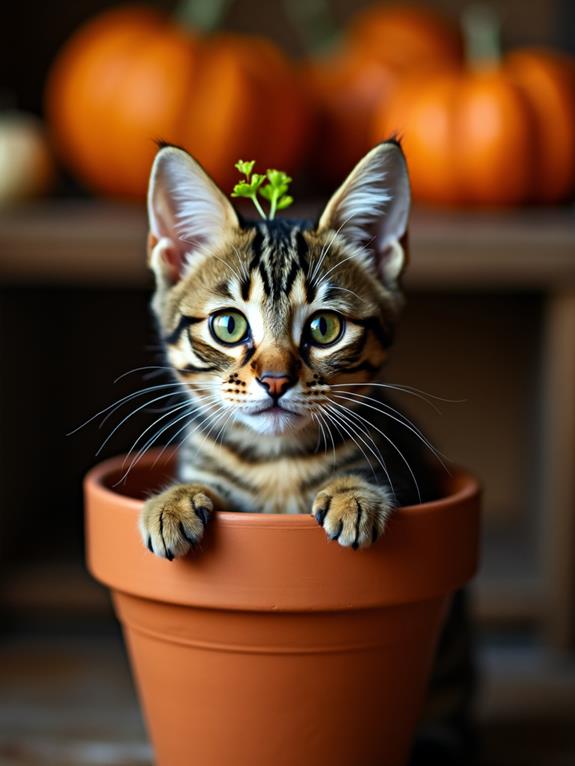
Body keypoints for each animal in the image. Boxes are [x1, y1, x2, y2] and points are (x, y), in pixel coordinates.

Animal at [141, 140, 436, 560]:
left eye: (324, 328)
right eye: (229, 326)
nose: (276, 380)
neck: (276, 462)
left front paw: (353, 493)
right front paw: (174, 500)